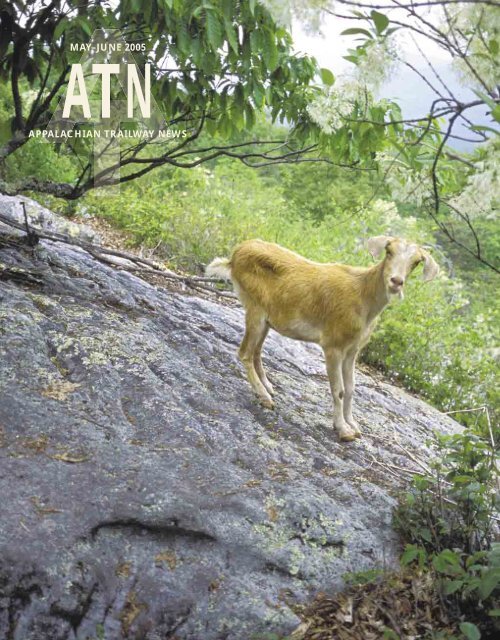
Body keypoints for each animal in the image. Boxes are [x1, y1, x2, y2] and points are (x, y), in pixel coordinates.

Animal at [206, 238, 438, 442]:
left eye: (416, 261)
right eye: (389, 251)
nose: (396, 282)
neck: (363, 297)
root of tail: (235, 255)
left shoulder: (352, 350)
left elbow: (352, 389)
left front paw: (353, 425)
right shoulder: (333, 345)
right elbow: (340, 390)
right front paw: (343, 430)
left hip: (268, 319)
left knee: (256, 351)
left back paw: (268, 387)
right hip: (255, 309)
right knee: (244, 352)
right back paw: (265, 397)